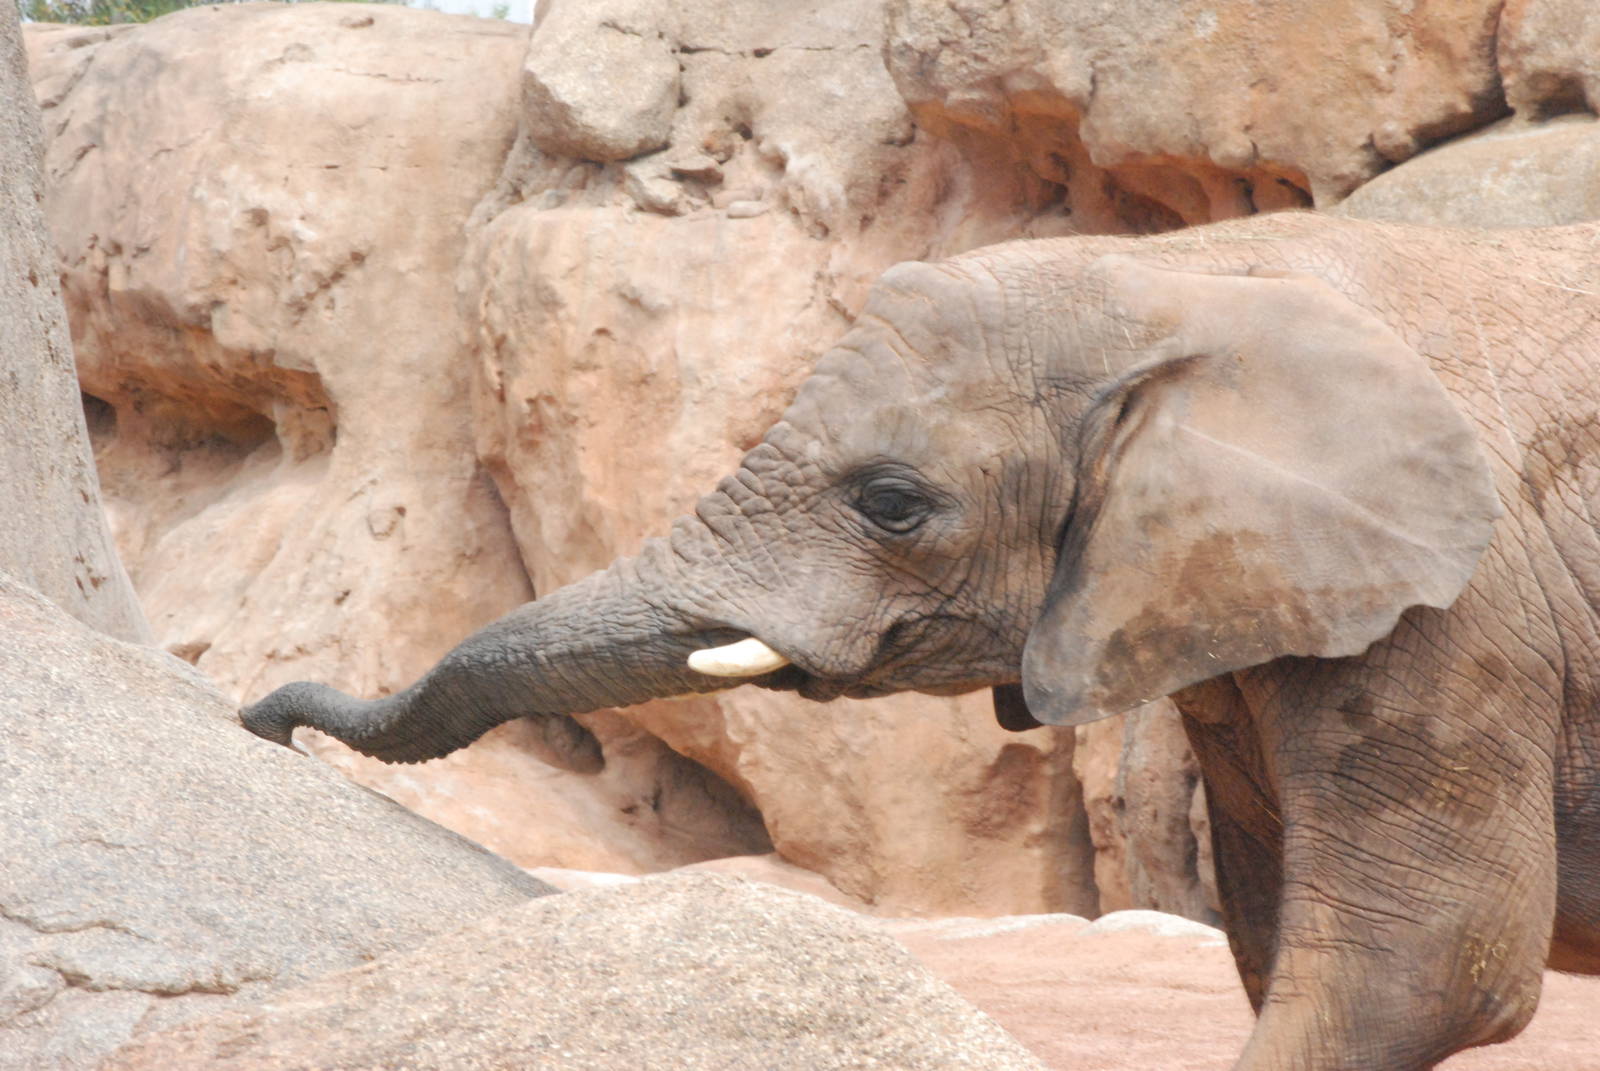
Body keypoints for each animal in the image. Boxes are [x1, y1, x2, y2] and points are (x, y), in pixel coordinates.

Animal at [243, 212, 1600, 1070]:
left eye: (892, 503)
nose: (265, 715)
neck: (1187, 272)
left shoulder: (1465, 615)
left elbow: (1422, 970)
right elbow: (1284, 953)